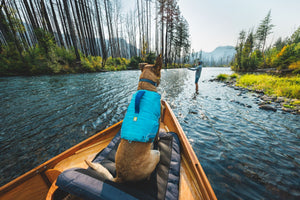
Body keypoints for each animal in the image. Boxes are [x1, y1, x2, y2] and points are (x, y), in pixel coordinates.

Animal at [85, 54, 163, 183]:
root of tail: (120, 176)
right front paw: (158, 139)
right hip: (156, 154)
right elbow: (156, 136)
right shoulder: (158, 120)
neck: (145, 85)